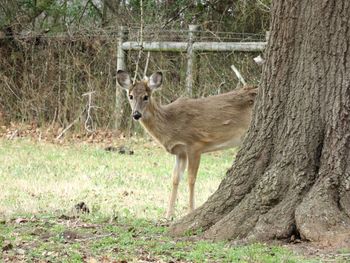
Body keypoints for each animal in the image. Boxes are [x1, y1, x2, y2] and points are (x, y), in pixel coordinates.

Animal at [117, 70, 258, 219]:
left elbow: (191, 179)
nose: (136, 114)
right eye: (130, 96)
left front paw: (190, 211)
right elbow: (175, 178)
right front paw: (168, 215)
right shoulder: (180, 152)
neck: (170, 123)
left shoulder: (195, 144)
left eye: (145, 97)